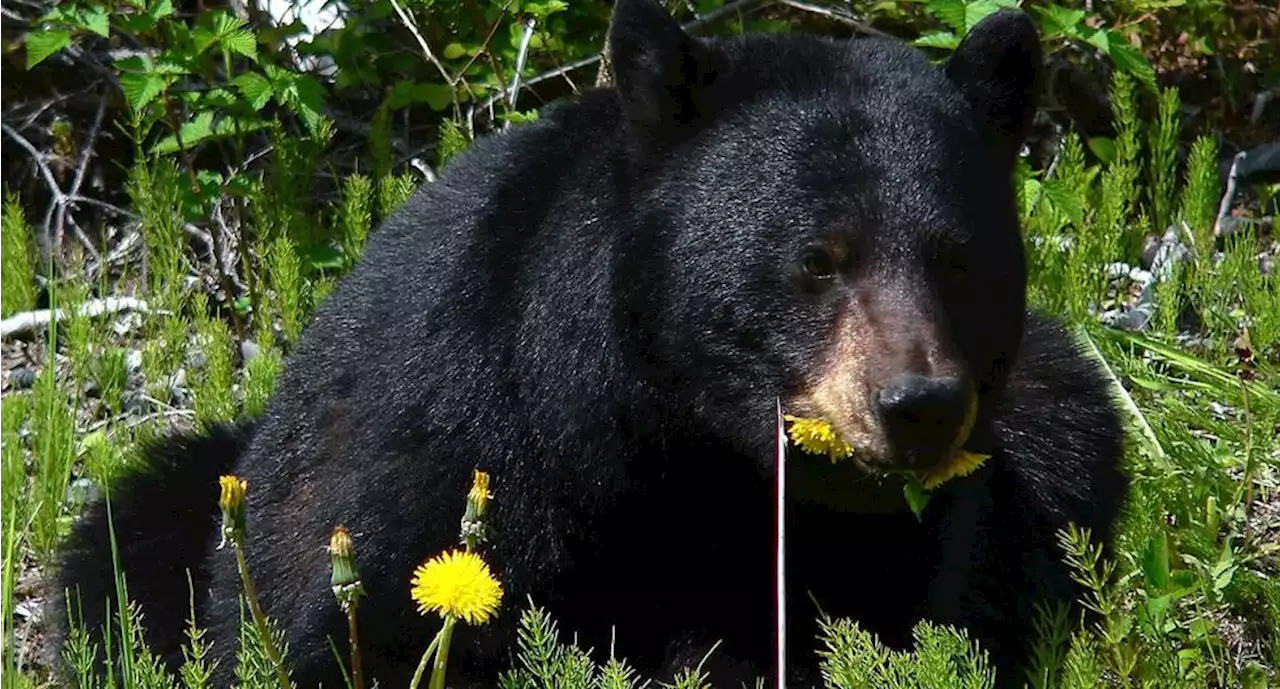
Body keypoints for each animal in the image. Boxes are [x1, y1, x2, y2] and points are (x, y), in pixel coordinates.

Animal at [52, 0, 1131, 681]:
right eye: (816, 258)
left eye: (958, 258)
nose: (918, 406)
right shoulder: (444, 438)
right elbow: (351, 625)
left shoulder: (892, 537)